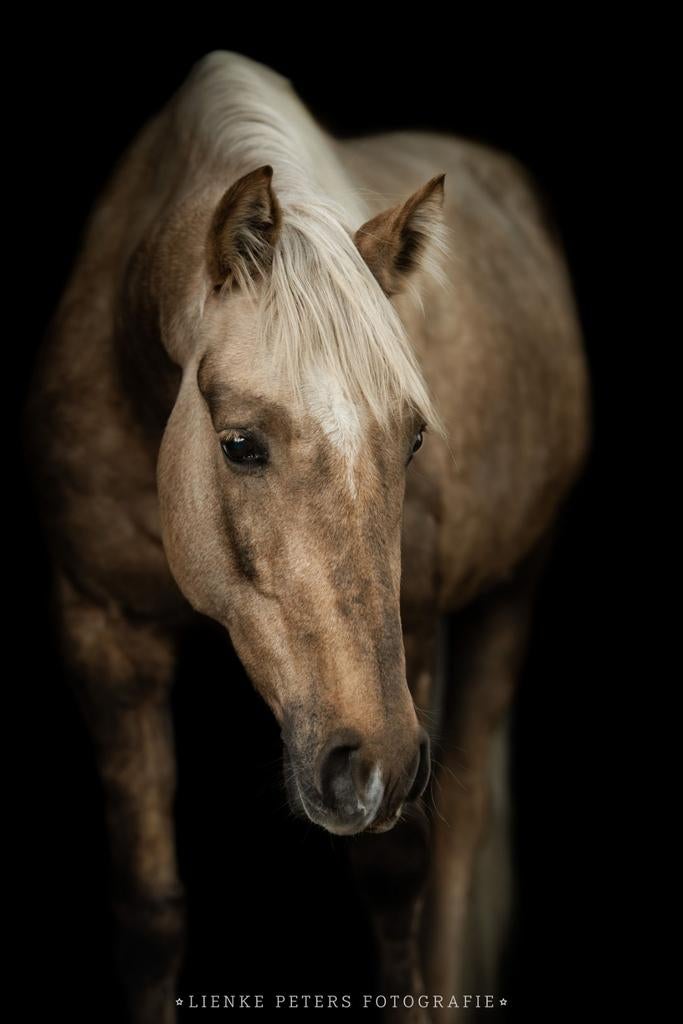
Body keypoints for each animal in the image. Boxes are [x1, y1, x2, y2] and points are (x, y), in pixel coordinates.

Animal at [25, 51, 589, 1022]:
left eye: (412, 439)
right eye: (239, 444)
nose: (371, 764)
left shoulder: (418, 629)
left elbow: (398, 878)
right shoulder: (103, 634)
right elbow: (150, 914)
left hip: (508, 592)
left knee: (460, 843)